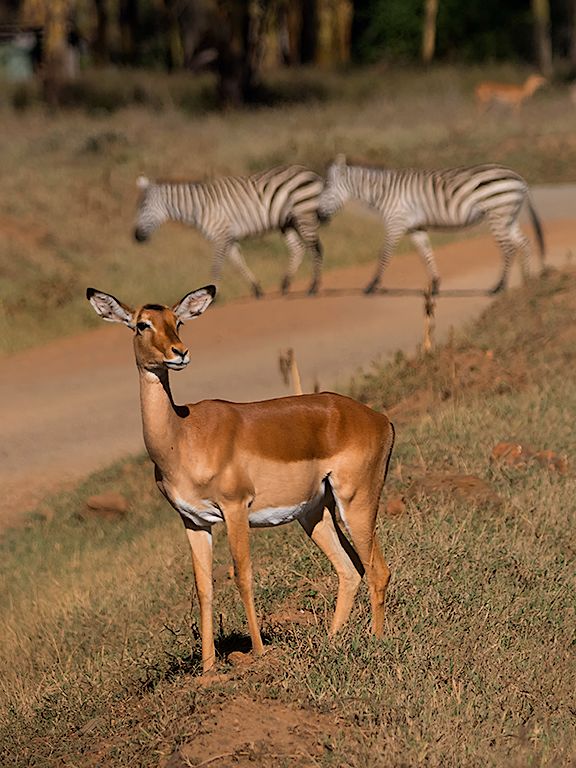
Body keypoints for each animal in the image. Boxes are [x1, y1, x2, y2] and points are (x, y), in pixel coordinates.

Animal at [86, 285, 395, 674]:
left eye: (178, 321)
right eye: (143, 324)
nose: (179, 353)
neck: (183, 436)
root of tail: (379, 418)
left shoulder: (234, 509)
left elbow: (242, 575)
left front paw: (258, 653)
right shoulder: (194, 521)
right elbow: (203, 587)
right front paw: (207, 670)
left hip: (356, 501)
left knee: (378, 570)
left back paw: (376, 640)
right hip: (314, 513)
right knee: (350, 569)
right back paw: (332, 641)